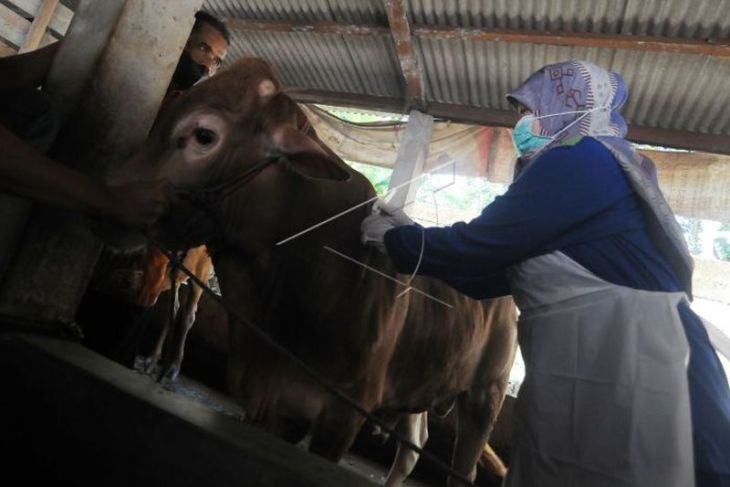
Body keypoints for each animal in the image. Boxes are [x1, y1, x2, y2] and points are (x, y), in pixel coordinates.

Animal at [109, 59, 516, 486]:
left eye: (204, 135)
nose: (113, 194)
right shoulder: (265, 402)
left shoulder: (342, 416)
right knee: (411, 448)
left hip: (485, 398)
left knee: (462, 469)